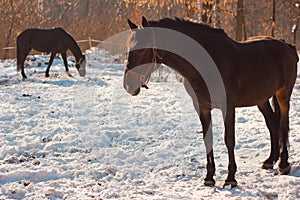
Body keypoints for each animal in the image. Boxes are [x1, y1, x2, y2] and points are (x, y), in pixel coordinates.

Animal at [123, 16, 298, 188]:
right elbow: (208, 139)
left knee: (283, 125)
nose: (128, 85)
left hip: (283, 95)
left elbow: (229, 140)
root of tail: (288, 46)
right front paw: (209, 177)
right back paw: (270, 161)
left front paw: (230, 178)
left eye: (141, 49)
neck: (207, 63)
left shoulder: (228, 108)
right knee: (272, 123)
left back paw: (283, 165)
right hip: (261, 99)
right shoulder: (202, 107)